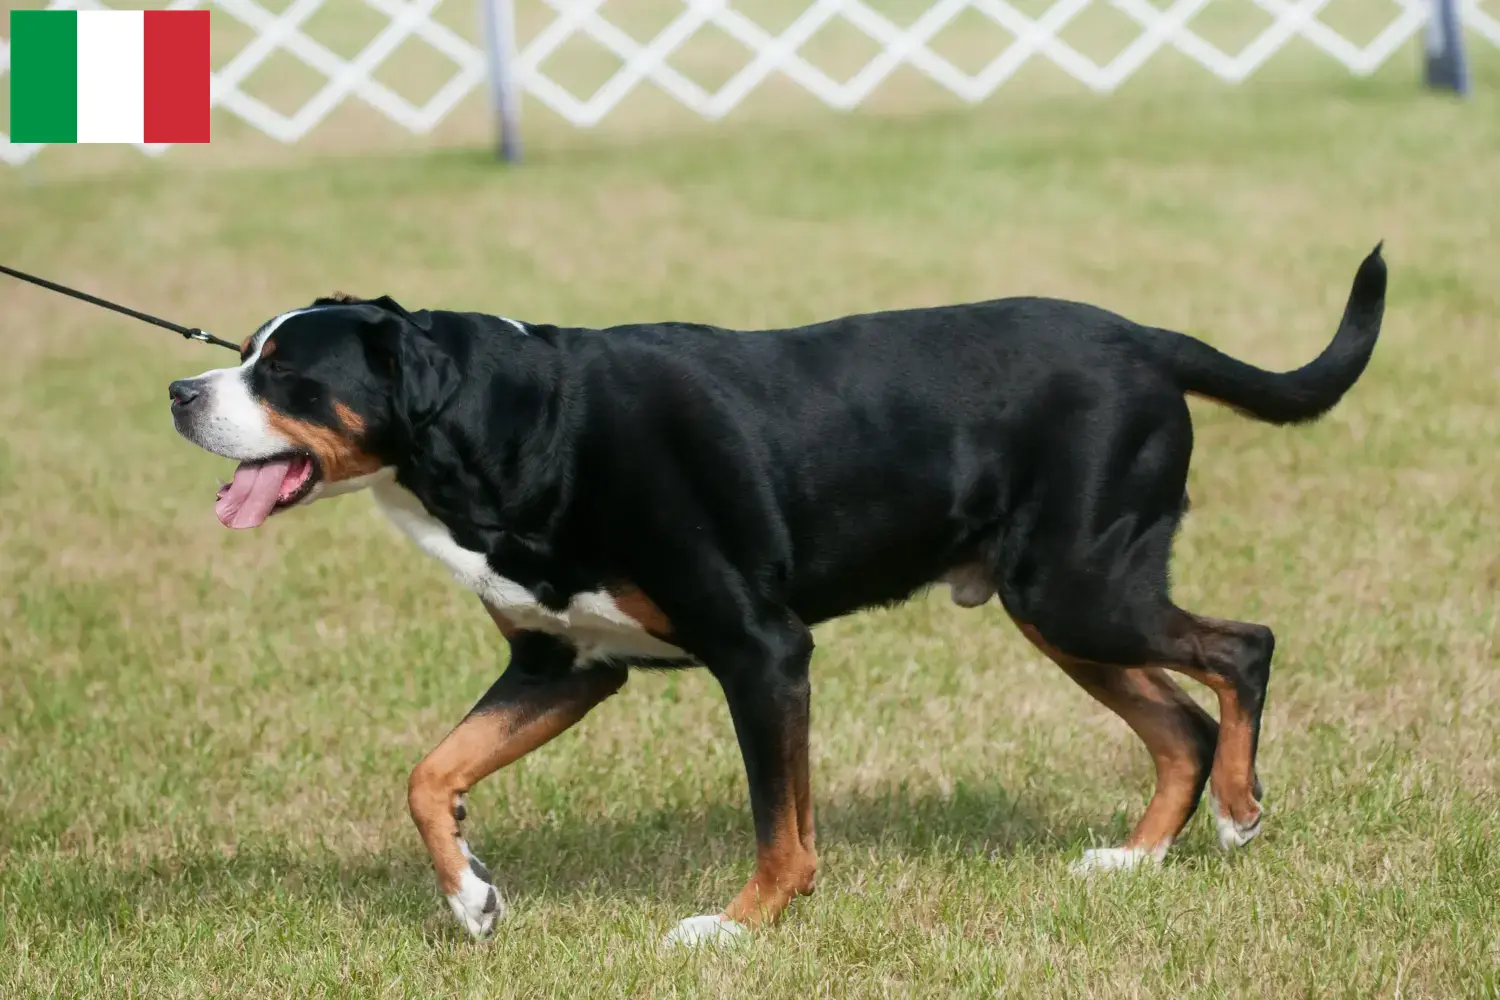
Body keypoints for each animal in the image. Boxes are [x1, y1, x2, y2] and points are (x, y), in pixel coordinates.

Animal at [170, 244, 1386, 947]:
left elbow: (778, 821)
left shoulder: (761, 650)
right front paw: (471, 895)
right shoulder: (565, 663)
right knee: (1178, 722)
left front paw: (738, 927)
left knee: (1242, 650)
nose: (180, 390)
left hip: (1080, 587)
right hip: (1060, 604)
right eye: (245, 353)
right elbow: (432, 774)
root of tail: (1140, 337)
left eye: (287, 373)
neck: (522, 428)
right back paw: (1135, 858)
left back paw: (1237, 811)